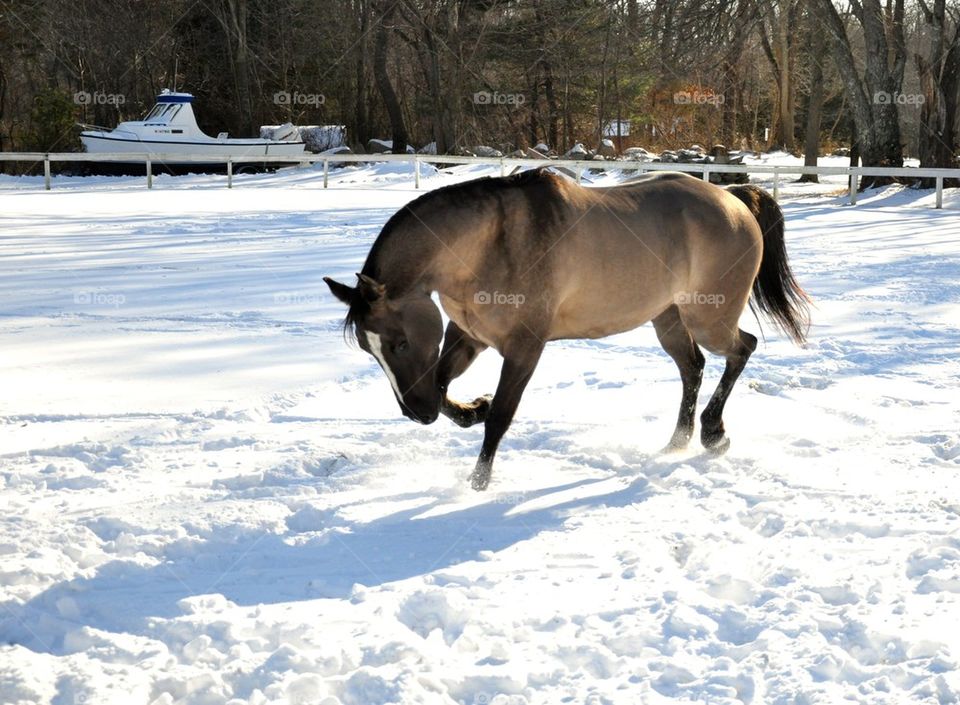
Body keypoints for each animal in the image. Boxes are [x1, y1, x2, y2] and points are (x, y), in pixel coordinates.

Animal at [324, 170, 808, 490]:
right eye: (369, 350)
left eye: (400, 343)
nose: (414, 413)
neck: (487, 245)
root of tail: (733, 197)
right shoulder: (469, 337)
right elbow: (445, 389)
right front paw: (473, 408)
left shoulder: (525, 347)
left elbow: (500, 417)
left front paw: (477, 485)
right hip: (669, 319)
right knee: (694, 367)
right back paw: (677, 443)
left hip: (708, 318)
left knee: (742, 348)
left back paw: (713, 434)